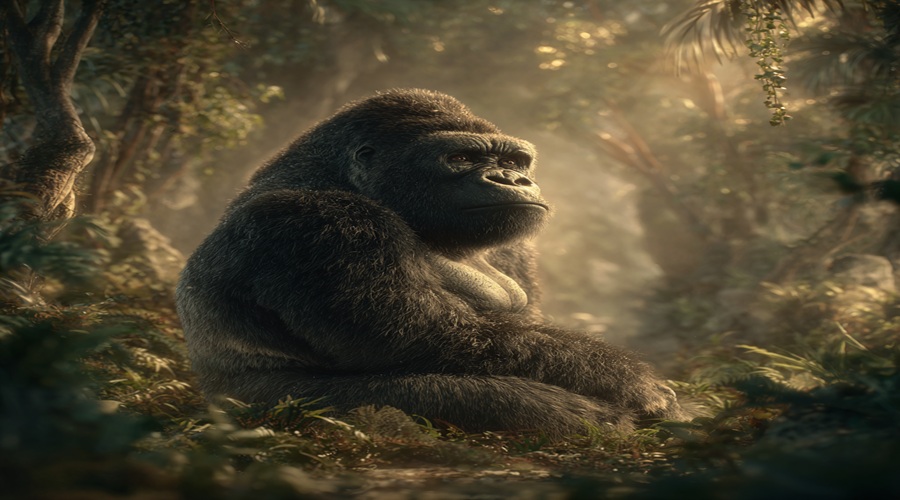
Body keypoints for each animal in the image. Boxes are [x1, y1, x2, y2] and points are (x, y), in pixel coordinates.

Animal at [176, 89, 685, 437]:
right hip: (271, 407)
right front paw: (629, 381)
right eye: (461, 156)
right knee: (506, 401)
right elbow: (418, 334)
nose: (513, 179)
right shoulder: (319, 220)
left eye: (514, 160)